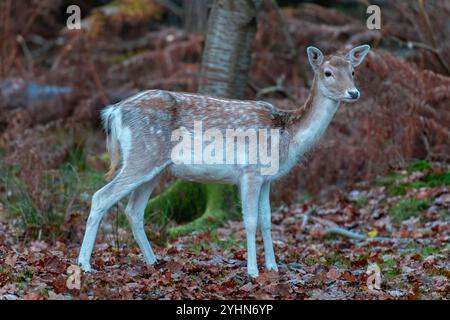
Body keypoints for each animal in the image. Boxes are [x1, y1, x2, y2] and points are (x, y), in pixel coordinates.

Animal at [79, 45, 370, 278]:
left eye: (353, 71)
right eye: (327, 72)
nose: (354, 93)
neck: (287, 135)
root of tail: (113, 112)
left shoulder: (267, 178)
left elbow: (267, 220)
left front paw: (273, 267)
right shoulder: (250, 171)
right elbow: (250, 220)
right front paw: (253, 271)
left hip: (154, 167)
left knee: (133, 210)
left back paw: (153, 262)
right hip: (142, 155)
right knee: (101, 196)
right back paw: (84, 264)